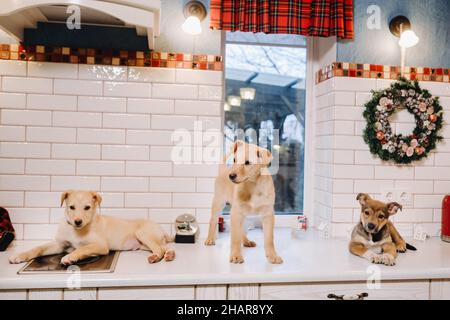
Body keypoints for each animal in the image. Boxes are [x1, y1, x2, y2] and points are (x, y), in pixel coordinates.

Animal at [10, 190, 176, 264]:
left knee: (159, 249)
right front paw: (20, 256)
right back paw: (170, 255)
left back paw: (157, 257)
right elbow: (38, 248)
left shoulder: (100, 246)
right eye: (71, 207)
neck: (76, 230)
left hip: (143, 234)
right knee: (165, 247)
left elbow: (82, 248)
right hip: (143, 244)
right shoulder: (59, 244)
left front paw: (70, 256)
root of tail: (161, 229)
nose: (77, 221)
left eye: (87, 207)